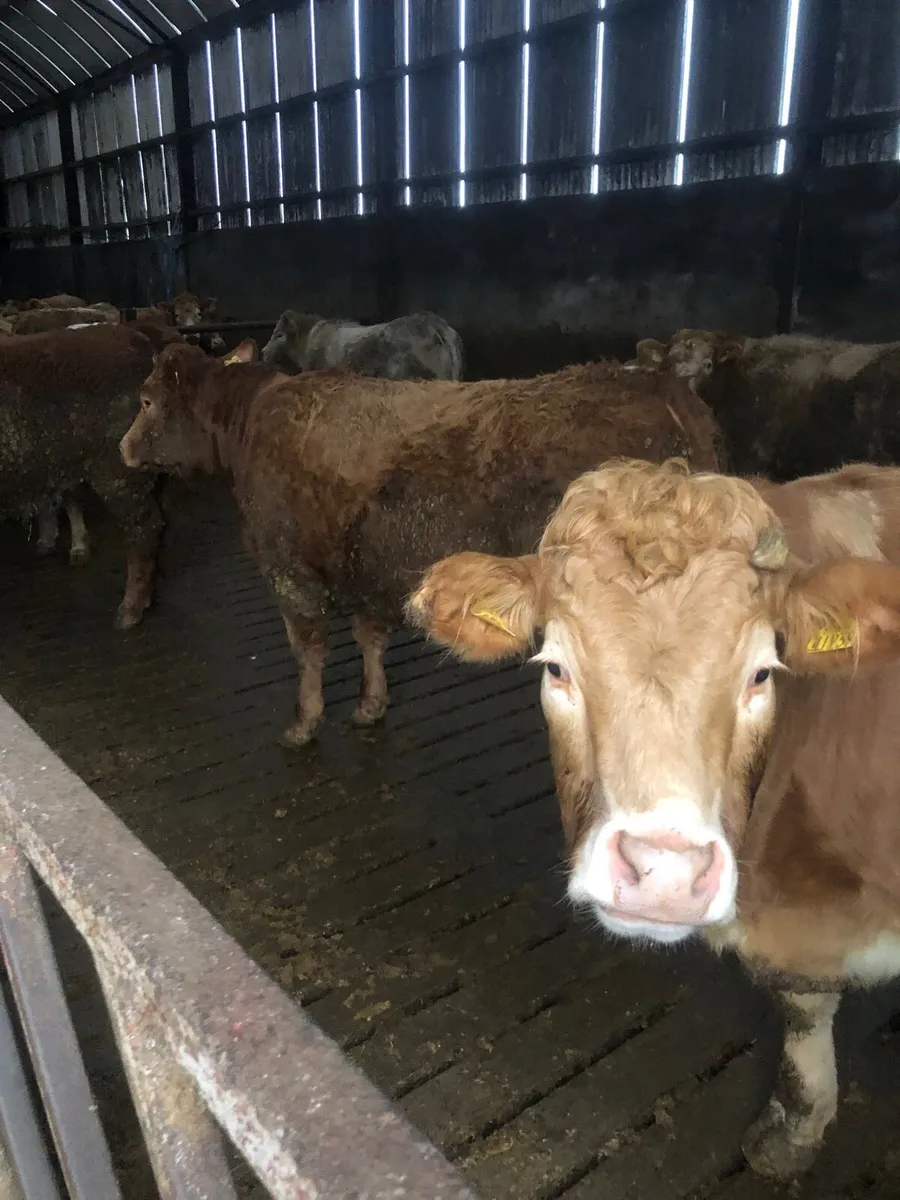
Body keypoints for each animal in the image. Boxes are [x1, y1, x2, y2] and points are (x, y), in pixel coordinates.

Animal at [119, 346, 720, 746]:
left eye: (146, 400)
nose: (123, 447)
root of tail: (658, 384)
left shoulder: (290, 571)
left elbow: (308, 652)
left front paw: (304, 723)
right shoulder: (366, 571)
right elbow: (369, 640)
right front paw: (370, 706)